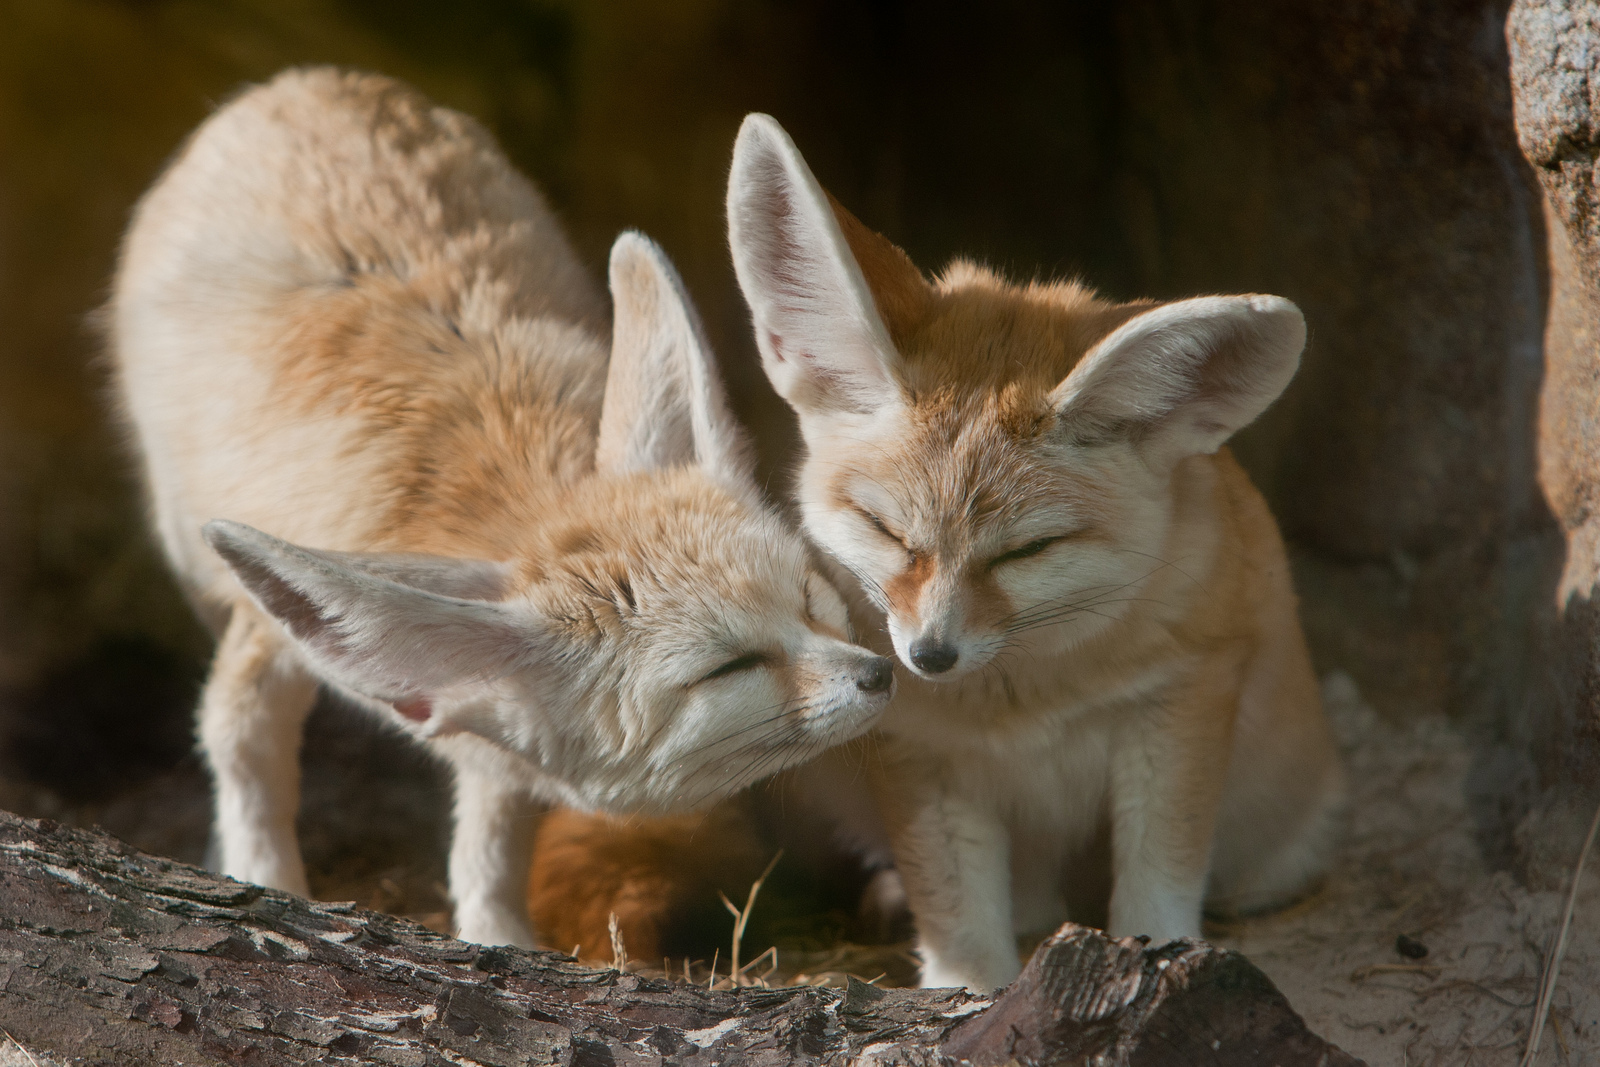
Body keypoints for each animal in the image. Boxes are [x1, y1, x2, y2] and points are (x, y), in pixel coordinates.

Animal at [106, 70, 896, 947]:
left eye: (809, 597)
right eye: (729, 668)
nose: (879, 674)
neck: (517, 498)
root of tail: (303, 80)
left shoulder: (493, 733)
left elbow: (495, 835)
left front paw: (501, 934)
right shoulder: (266, 640)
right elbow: (239, 743)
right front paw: (264, 879)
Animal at [729, 112, 1350, 991]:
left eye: (1027, 550)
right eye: (887, 531)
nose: (931, 655)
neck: (1022, 703)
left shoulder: (1183, 699)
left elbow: (1159, 880)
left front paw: (1163, 958)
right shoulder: (921, 753)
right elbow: (958, 917)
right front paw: (968, 993)